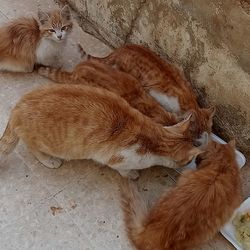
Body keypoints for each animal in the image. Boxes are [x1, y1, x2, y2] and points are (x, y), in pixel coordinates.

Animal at [0, 84, 203, 180]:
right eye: (190, 160)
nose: (191, 165)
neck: (154, 138)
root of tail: (17, 107)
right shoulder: (117, 159)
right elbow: (123, 170)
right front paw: (132, 175)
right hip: (47, 143)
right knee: (32, 148)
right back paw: (49, 160)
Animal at [85, 44, 216, 140]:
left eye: (205, 132)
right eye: (195, 131)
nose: (197, 141)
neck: (188, 101)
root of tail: (121, 49)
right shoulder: (154, 95)